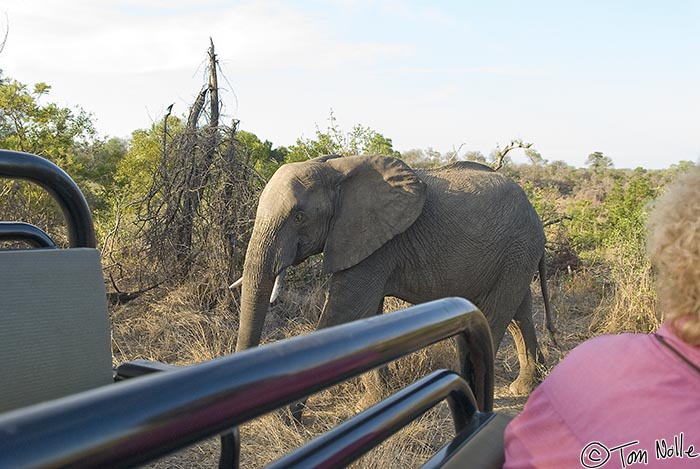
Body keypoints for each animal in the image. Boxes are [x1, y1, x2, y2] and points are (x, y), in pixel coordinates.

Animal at [235, 154, 552, 394]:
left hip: (518, 248)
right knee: (520, 314)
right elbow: (365, 316)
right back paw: (525, 387)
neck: (337, 168)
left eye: (299, 217)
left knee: (496, 314)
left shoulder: (376, 241)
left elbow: (346, 311)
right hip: (516, 255)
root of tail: (535, 213)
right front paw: (376, 397)